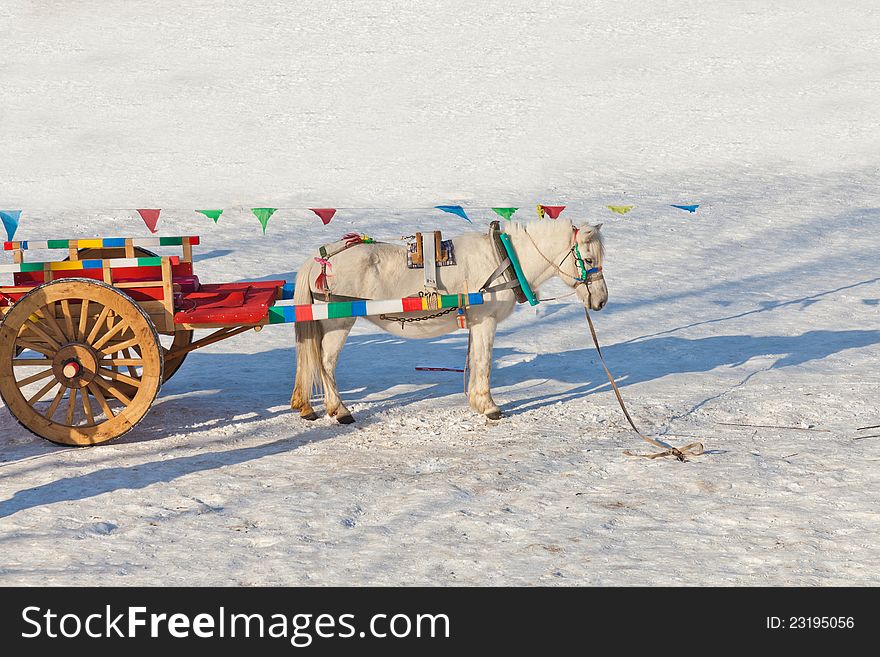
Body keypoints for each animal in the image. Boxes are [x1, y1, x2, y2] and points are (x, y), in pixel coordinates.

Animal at [292, 218, 608, 422]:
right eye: (589, 260)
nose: (602, 300)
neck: (502, 259)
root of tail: (320, 258)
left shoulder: (475, 323)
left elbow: (474, 359)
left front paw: (476, 402)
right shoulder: (486, 320)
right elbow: (484, 361)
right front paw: (490, 407)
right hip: (338, 321)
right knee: (326, 363)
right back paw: (340, 410)